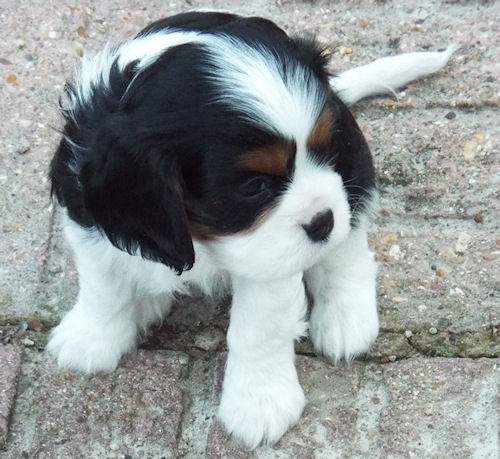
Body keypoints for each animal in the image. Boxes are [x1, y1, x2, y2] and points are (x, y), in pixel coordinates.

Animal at [47, 10, 458, 450]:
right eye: (253, 187)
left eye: (325, 149)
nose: (322, 221)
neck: (202, 236)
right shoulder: (87, 214)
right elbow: (103, 286)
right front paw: (89, 339)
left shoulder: (272, 259)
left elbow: (257, 330)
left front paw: (260, 402)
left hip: (355, 174)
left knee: (351, 247)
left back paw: (345, 317)